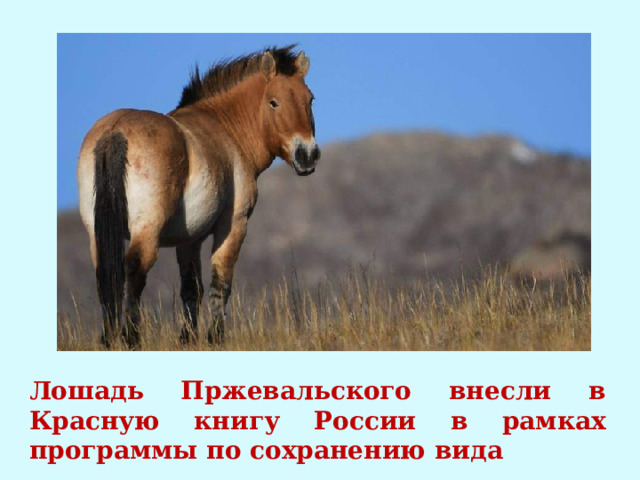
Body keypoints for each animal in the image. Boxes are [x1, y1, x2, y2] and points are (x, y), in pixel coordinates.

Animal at [77, 46, 320, 348]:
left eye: (310, 100)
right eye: (273, 102)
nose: (307, 155)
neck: (227, 129)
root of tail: (115, 131)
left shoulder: (189, 239)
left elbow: (191, 289)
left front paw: (188, 339)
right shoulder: (233, 226)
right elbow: (220, 284)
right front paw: (215, 337)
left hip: (96, 232)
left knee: (106, 275)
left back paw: (110, 339)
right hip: (147, 231)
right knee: (134, 270)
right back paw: (132, 338)